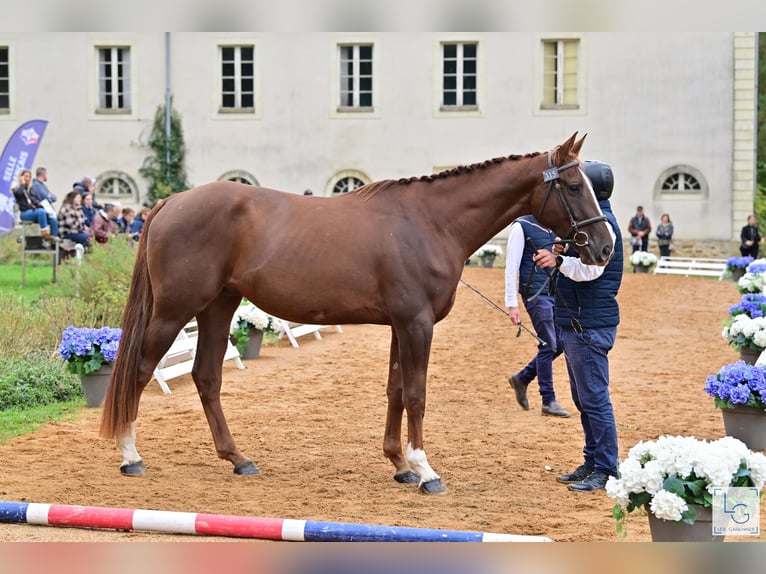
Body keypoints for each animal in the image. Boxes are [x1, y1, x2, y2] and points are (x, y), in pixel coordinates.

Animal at [100, 132, 612, 496]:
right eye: (572, 186)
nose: (604, 248)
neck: (431, 222)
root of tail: (171, 202)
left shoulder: (401, 326)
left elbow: (395, 391)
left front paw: (401, 466)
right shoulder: (416, 325)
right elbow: (417, 395)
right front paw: (426, 471)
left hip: (218, 307)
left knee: (206, 376)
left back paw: (238, 458)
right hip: (175, 310)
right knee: (140, 371)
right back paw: (130, 456)